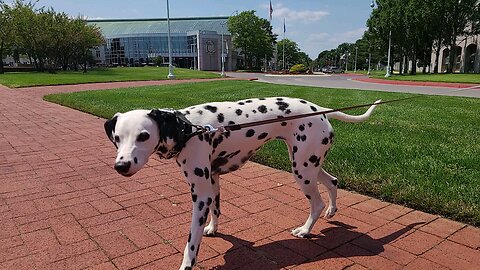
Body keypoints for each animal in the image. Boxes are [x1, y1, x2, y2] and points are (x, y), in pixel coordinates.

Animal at [104, 96, 378, 268]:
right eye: (117, 138)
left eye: (143, 136)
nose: (121, 166)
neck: (188, 130)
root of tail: (318, 109)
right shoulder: (212, 182)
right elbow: (216, 210)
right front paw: (212, 228)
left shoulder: (199, 195)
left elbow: (191, 243)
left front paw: (187, 265)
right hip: (309, 165)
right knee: (333, 181)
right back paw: (332, 210)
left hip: (303, 170)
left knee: (316, 203)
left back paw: (306, 229)